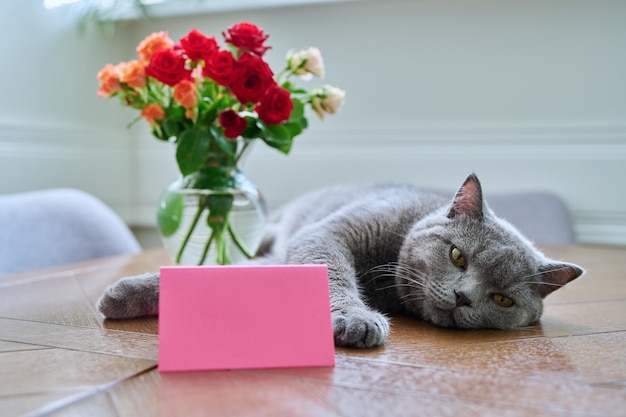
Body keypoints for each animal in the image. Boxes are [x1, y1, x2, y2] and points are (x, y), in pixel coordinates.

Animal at [97, 173, 580, 348]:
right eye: (457, 256)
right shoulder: (325, 235)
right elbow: (328, 272)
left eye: (501, 300)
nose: (463, 298)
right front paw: (355, 318)